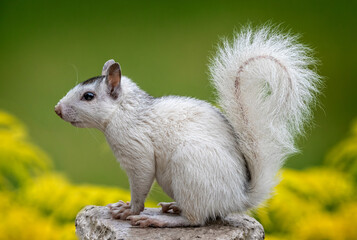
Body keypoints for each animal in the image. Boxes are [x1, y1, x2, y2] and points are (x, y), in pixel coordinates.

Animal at [55, 25, 320, 227]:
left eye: (88, 96)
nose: (57, 109)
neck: (125, 110)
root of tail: (238, 197)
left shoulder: (136, 149)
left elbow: (141, 182)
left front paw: (128, 210)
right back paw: (173, 207)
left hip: (188, 167)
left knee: (196, 219)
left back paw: (160, 221)